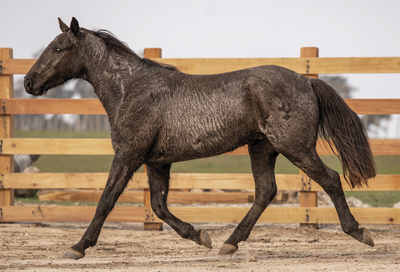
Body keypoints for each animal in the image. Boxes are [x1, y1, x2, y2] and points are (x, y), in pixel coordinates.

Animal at [24, 18, 376, 260]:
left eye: (59, 48)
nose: (29, 82)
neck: (131, 90)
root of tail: (307, 81)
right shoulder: (156, 162)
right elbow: (159, 206)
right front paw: (199, 235)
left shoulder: (128, 155)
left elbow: (105, 201)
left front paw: (78, 247)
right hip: (263, 148)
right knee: (266, 191)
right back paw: (229, 243)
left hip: (295, 147)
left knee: (330, 179)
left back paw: (360, 232)